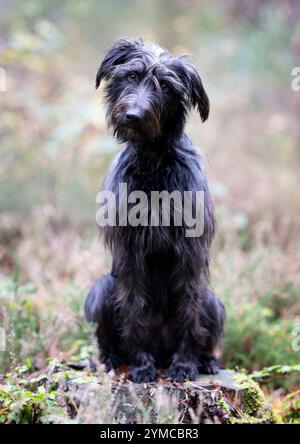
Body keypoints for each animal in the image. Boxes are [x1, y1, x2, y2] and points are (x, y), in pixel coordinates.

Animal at [85, 38, 224, 382]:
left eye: (166, 86)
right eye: (132, 75)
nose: (133, 115)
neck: (153, 164)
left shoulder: (190, 256)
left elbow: (189, 311)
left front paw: (185, 364)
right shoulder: (129, 255)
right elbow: (133, 310)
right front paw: (141, 365)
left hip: (213, 301)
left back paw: (205, 362)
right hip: (101, 290)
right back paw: (114, 360)